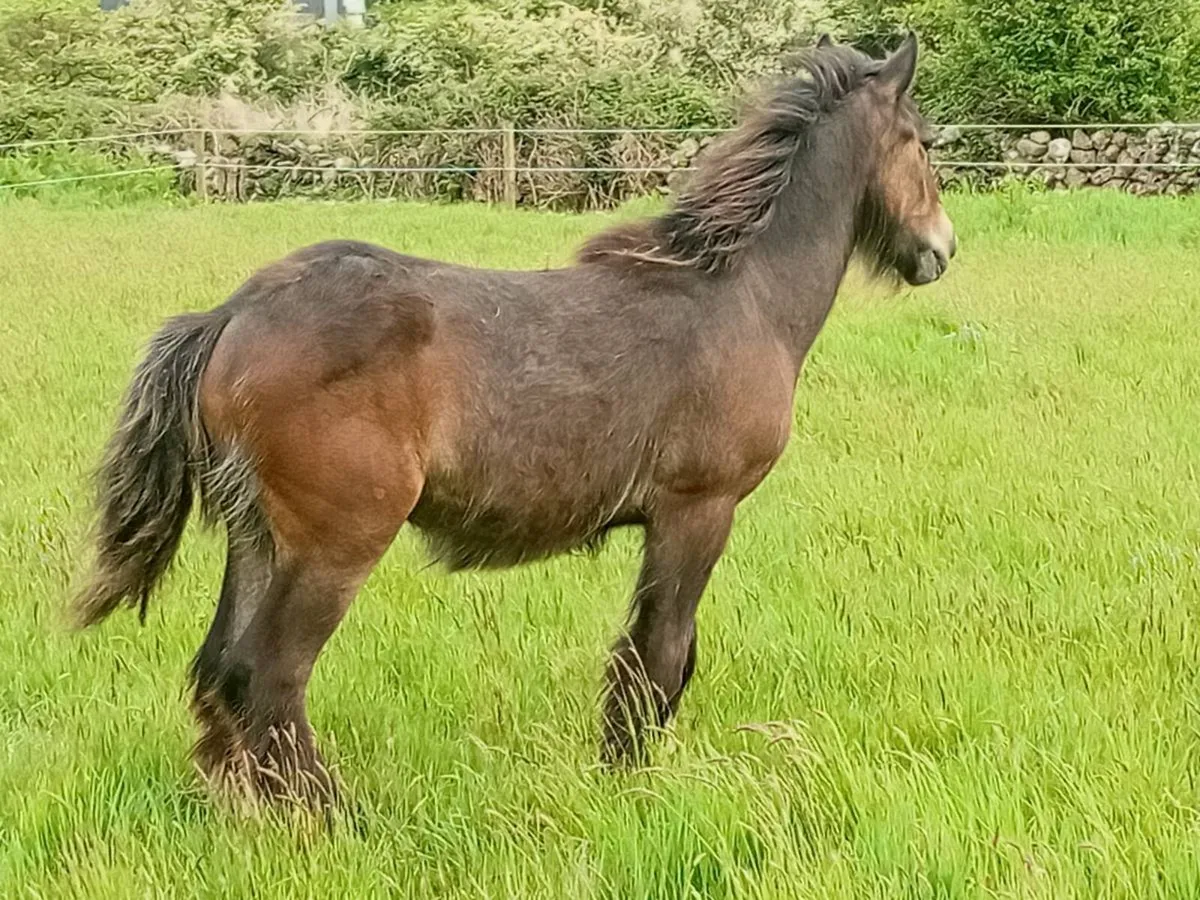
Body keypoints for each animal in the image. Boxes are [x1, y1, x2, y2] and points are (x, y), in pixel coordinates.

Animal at [72, 34, 956, 807]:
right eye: (922, 143)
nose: (941, 249)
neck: (739, 297)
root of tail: (230, 315)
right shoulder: (697, 511)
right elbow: (660, 656)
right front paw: (632, 785)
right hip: (336, 542)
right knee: (269, 675)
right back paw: (334, 820)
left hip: (258, 537)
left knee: (220, 669)